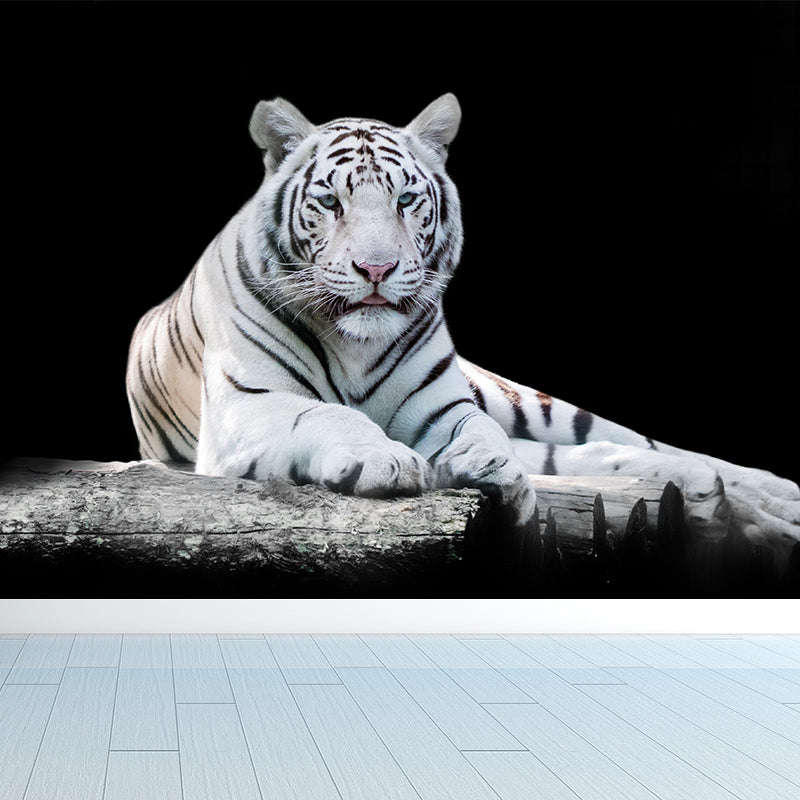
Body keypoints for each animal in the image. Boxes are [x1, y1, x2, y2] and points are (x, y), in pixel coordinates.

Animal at [126, 94, 800, 546]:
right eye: (331, 202)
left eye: (404, 200)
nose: (377, 268)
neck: (355, 346)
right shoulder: (246, 406)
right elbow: (324, 413)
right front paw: (389, 461)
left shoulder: (445, 406)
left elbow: (480, 433)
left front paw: (493, 471)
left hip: (524, 400)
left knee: (627, 442)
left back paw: (771, 498)